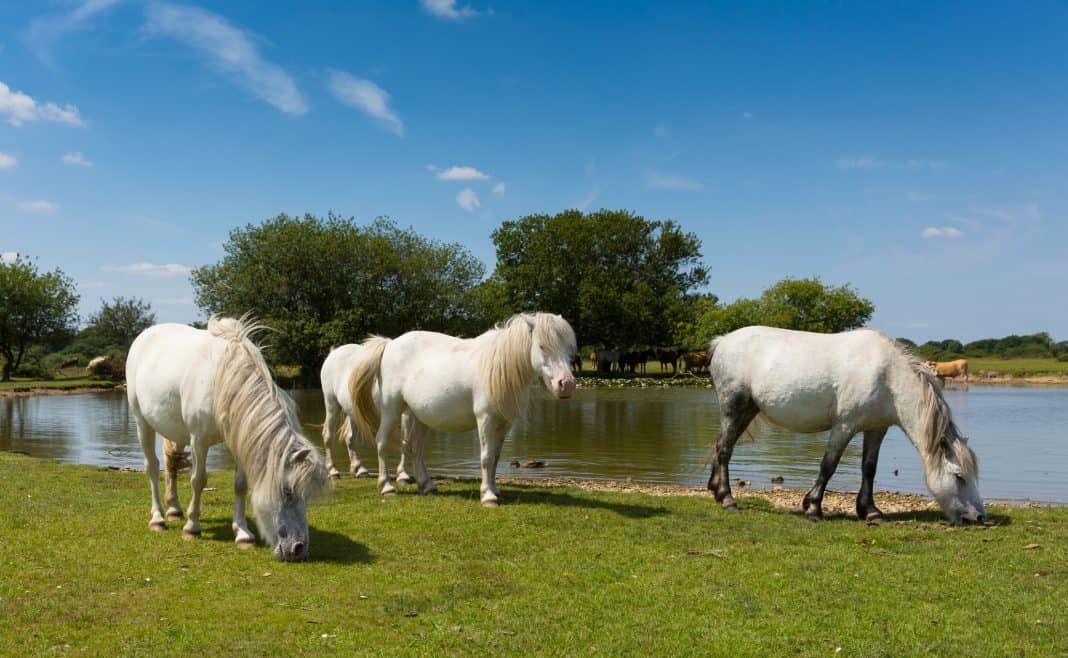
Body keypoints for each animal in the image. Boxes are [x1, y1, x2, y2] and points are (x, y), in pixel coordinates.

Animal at [124, 316, 326, 559]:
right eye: (287, 491)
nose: (298, 548)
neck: (223, 378)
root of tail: (145, 335)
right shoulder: (199, 440)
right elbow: (198, 480)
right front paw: (192, 527)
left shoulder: (239, 438)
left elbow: (240, 485)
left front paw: (243, 533)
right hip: (142, 423)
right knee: (152, 468)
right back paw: (158, 519)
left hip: (176, 431)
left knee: (171, 463)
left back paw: (174, 510)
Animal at [350, 311, 576, 506]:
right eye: (542, 346)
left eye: (569, 349)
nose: (567, 384)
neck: (497, 368)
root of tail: (390, 344)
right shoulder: (485, 419)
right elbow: (486, 457)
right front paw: (488, 496)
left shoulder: (505, 424)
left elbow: (496, 458)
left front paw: (495, 491)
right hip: (391, 409)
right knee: (382, 442)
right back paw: (386, 487)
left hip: (420, 416)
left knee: (416, 449)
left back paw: (427, 486)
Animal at [709, 326, 982, 523]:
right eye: (959, 476)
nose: (979, 516)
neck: (887, 376)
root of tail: (722, 341)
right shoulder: (844, 426)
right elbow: (828, 465)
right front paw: (813, 508)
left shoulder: (876, 429)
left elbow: (869, 468)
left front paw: (870, 511)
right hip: (733, 406)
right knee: (724, 449)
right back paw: (728, 499)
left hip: (747, 410)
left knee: (721, 445)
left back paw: (716, 491)